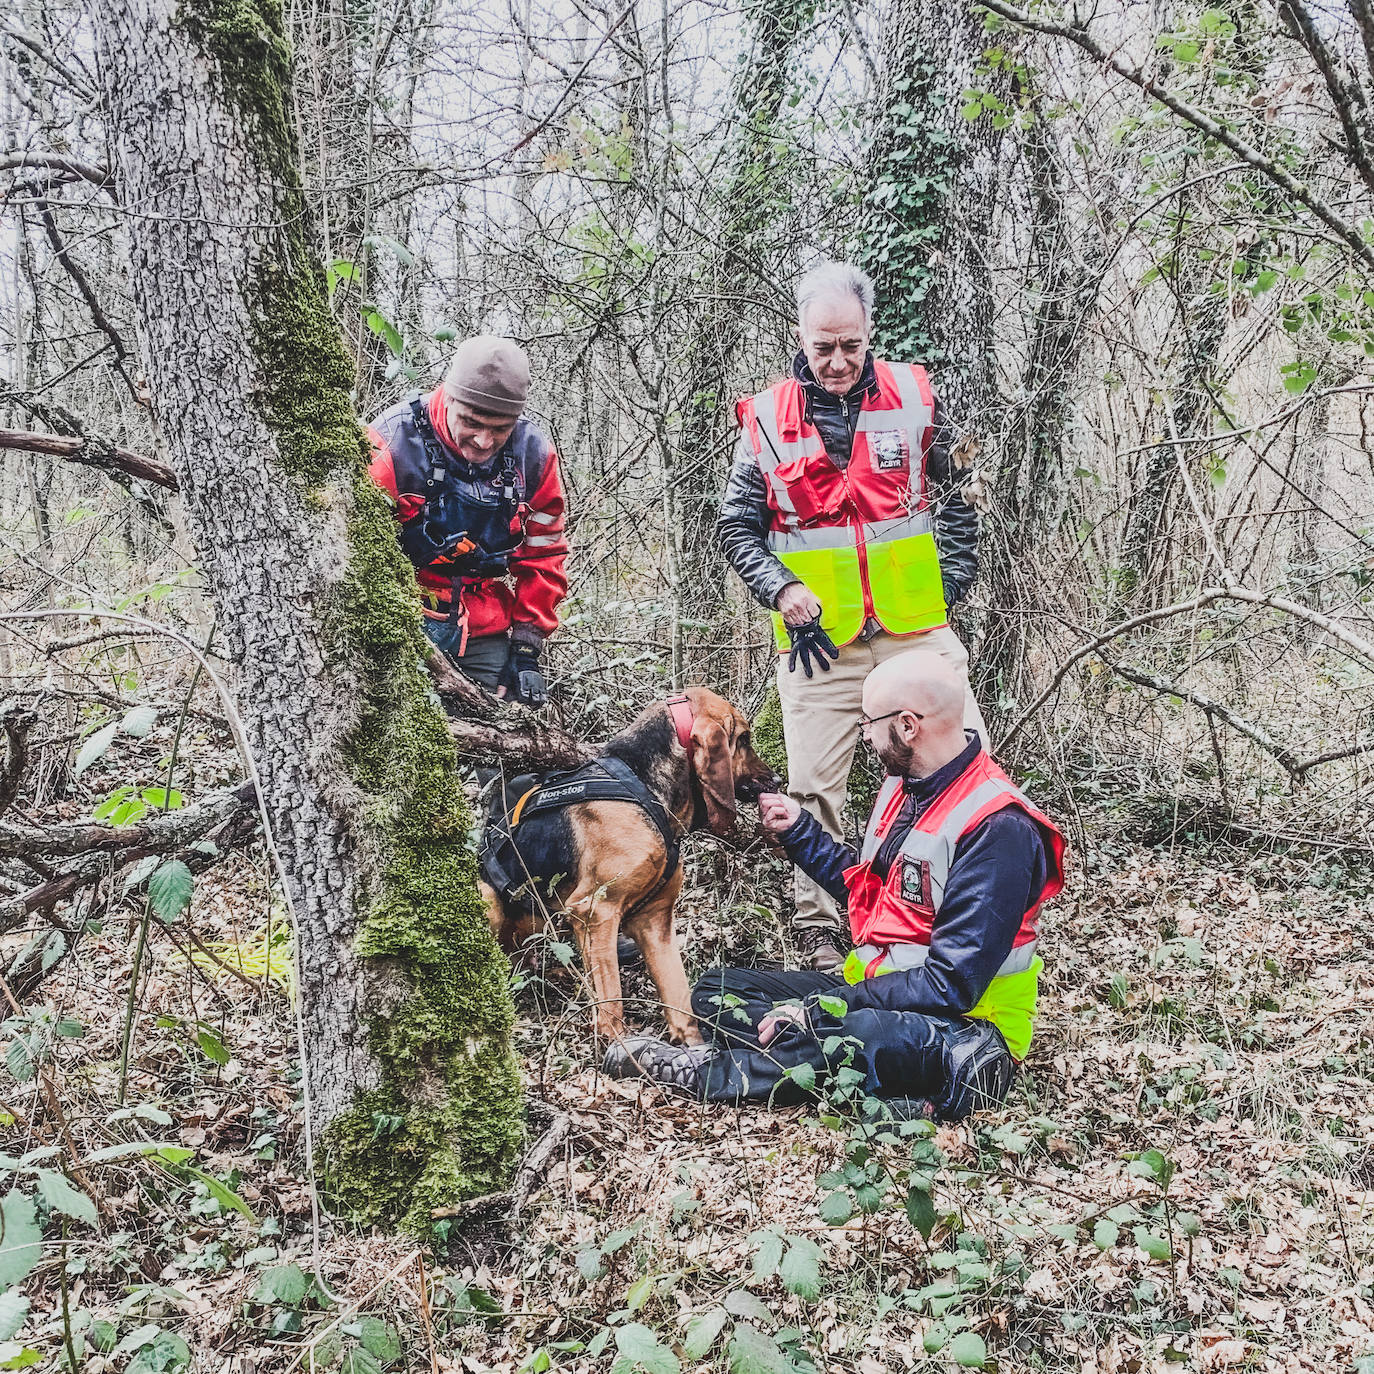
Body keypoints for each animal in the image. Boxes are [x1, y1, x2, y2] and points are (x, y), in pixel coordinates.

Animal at [480, 692, 785, 1044]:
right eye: (744, 739)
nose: (778, 780)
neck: (643, 786)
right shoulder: (595, 912)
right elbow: (611, 1002)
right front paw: (616, 1046)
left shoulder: (655, 921)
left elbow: (680, 1002)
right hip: (487, 900)